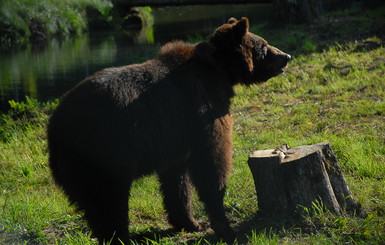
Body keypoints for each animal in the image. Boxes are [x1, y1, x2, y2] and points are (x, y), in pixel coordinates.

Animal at [47, 17, 288, 245]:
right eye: (264, 45)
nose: (286, 55)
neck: (219, 70)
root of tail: (55, 126)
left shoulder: (175, 138)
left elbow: (176, 180)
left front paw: (192, 222)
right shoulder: (202, 112)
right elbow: (211, 164)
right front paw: (226, 228)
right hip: (103, 153)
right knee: (109, 202)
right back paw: (122, 238)